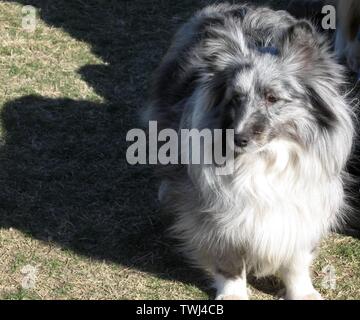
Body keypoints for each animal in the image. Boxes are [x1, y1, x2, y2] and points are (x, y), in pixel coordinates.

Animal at [146, 3, 354, 300]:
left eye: (272, 98)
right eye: (235, 98)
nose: (238, 138)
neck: (267, 157)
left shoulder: (304, 204)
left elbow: (296, 258)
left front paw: (303, 292)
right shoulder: (219, 213)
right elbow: (229, 259)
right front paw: (233, 294)